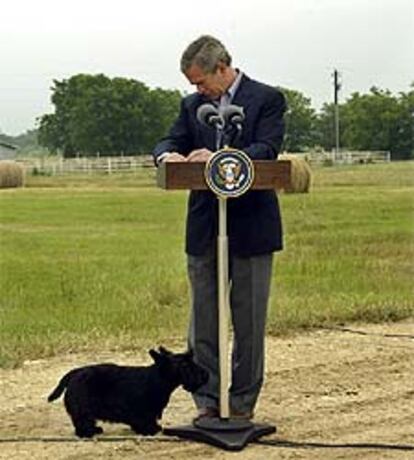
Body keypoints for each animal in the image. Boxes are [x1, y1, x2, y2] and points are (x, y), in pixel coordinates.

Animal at [47, 344, 207, 438]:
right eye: (185, 365)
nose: (205, 374)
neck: (159, 378)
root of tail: (74, 373)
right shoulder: (143, 412)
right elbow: (145, 422)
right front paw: (151, 430)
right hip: (83, 410)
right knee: (82, 423)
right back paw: (89, 433)